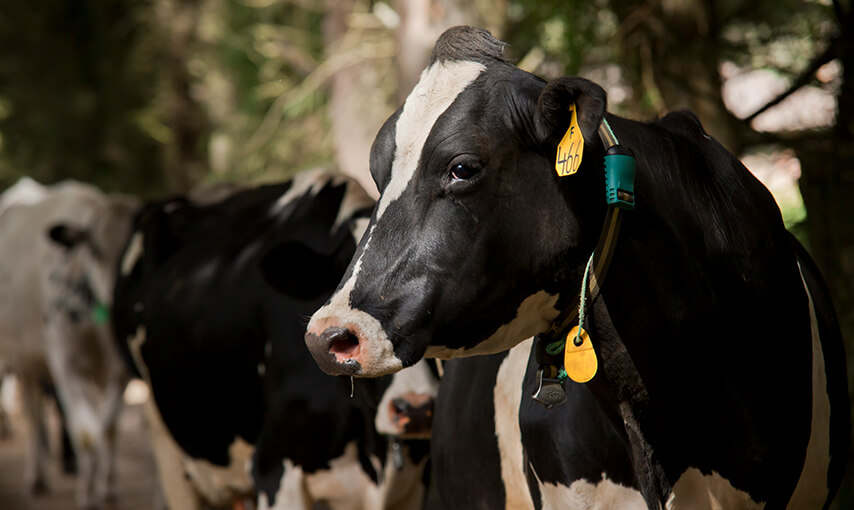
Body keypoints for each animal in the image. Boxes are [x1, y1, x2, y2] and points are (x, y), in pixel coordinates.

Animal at [0, 178, 140, 506]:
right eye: (96, 251)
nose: (119, 300)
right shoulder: (66, 366)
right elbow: (86, 434)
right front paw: (87, 494)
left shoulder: (119, 372)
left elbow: (108, 428)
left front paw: (106, 486)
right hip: (20, 357)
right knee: (33, 412)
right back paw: (36, 476)